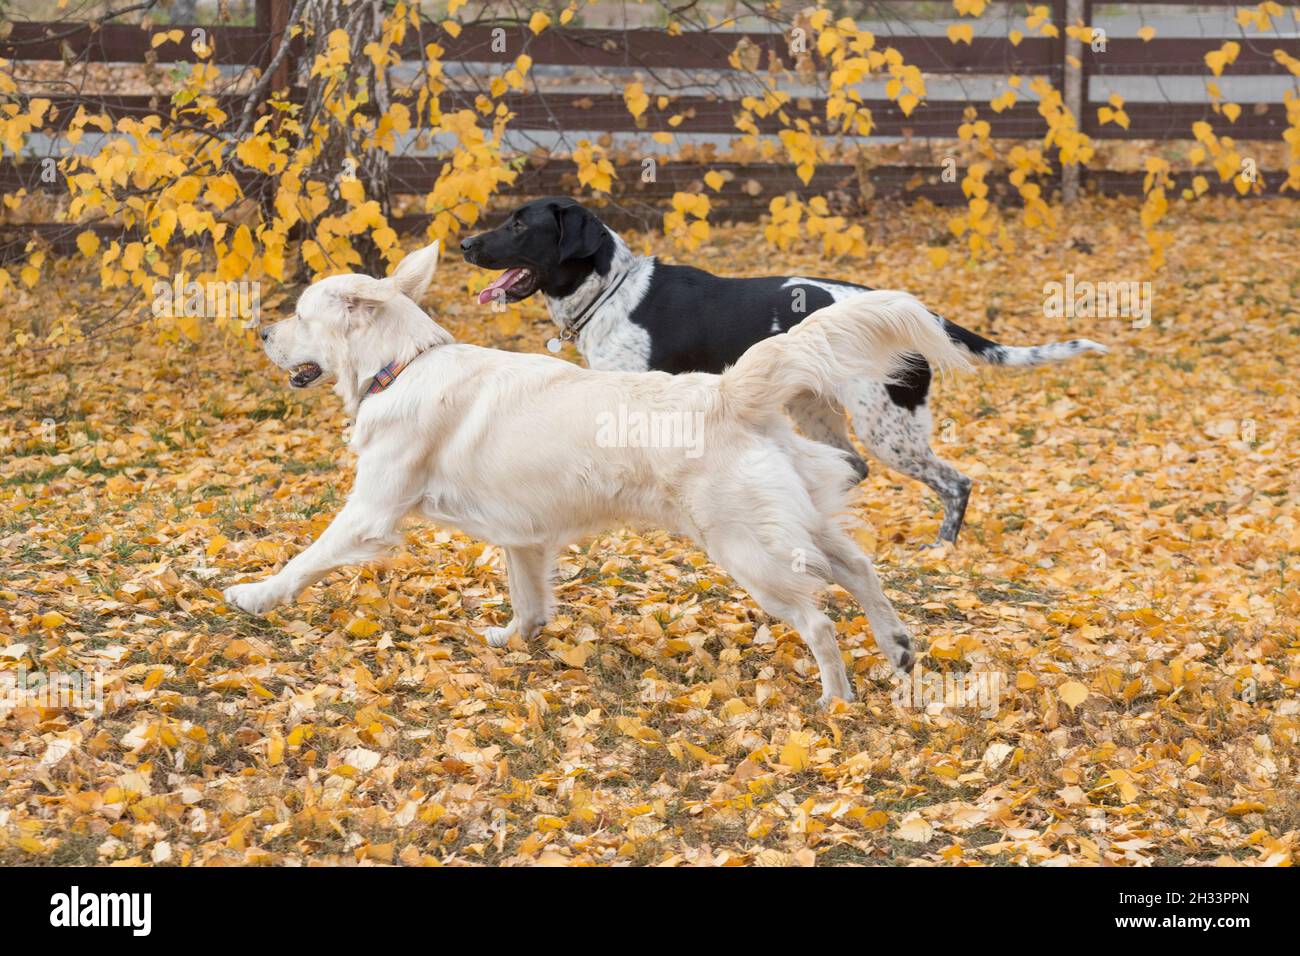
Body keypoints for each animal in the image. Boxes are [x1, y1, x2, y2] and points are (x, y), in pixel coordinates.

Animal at [226, 243, 967, 707]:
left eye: (300, 314)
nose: (260, 332)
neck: (403, 364)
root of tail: (727, 391)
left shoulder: (372, 510)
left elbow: (307, 557)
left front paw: (255, 596)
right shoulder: (523, 536)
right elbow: (529, 602)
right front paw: (512, 638)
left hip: (749, 549)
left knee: (818, 621)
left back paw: (835, 700)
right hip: (796, 519)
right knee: (861, 569)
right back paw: (898, 647)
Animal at [460, 196, 1107, 546]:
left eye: (520, 224)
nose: (464, 243)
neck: (614, 291)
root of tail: (915, 312)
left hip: (888, 427)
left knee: (955, 484)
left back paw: (941, 550)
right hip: (815, 410)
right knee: (852, 468)